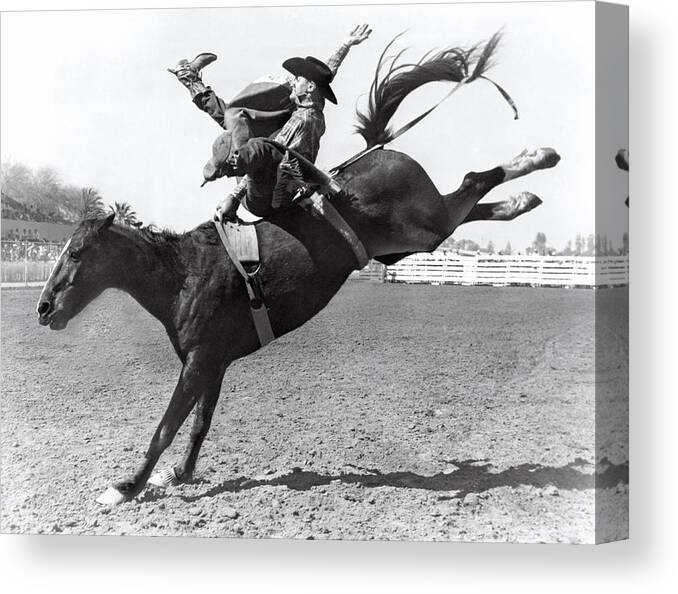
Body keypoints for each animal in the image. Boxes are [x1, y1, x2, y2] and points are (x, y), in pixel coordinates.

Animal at [34, 33, 560, 504]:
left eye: (77, 253)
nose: (43, 308)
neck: (185, 274)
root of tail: (380, 149)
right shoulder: (213, 364)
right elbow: (200, 423)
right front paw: (178, 475)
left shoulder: (199, 361)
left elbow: (166, 426)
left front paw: (126, 486)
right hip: (405, 243)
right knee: (469, 200)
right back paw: (525, 194)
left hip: (421, 225)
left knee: (471, 183)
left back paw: (539, 157)